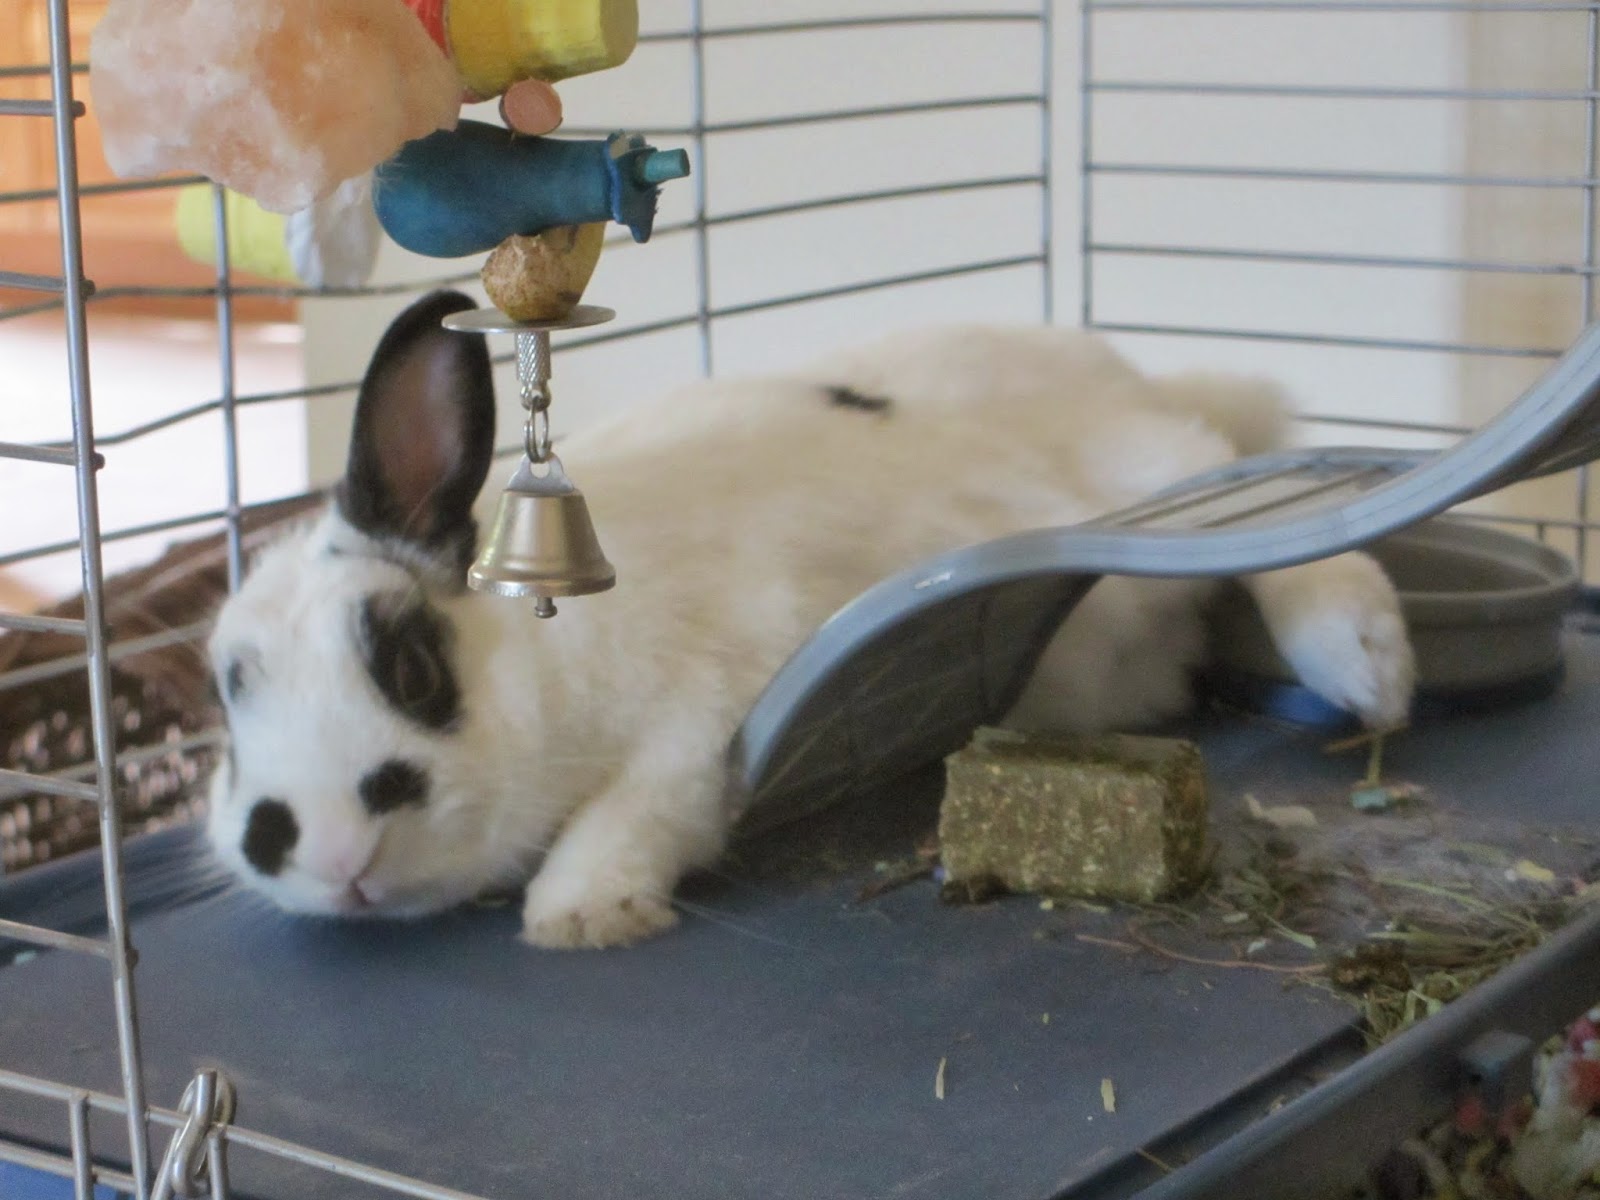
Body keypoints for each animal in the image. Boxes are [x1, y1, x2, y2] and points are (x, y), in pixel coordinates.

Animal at [204, 290, 1414, 950]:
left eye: (409, 668)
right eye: (229, 697)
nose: (325, 850)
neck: (531, 647)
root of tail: (1125, 370)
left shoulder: (713, 706)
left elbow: (647, 804)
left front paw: (580, 913)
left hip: (1154, 473)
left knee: (1274, 509)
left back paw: (1368, 666)